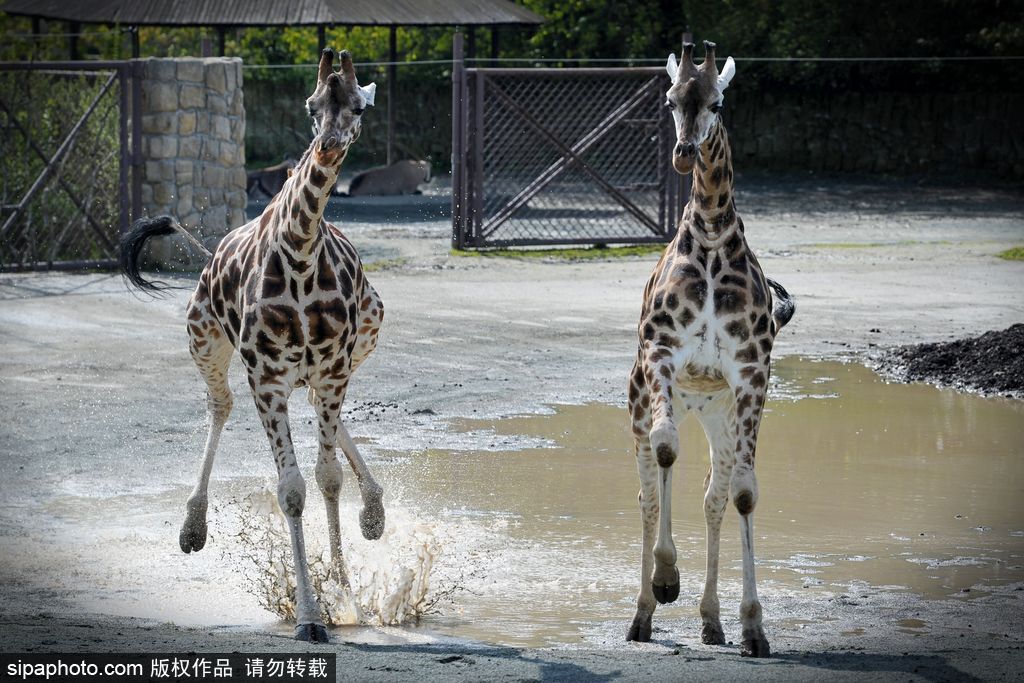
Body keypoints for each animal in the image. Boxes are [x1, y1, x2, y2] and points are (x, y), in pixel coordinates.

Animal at [120, 48, 385, 643]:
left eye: (357, 106)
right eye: (312, 104)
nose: (328, 144)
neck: (303, 253)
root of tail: (210, 253)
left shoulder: (333, 369)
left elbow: (326, 478)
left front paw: (343, 593)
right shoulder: (265, 378)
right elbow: (291, 491)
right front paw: (311, 618)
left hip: (364, 338)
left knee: (320, 426)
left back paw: (374, 511)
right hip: (204, 341)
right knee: (219, 405)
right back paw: (192, 527)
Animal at [622, 38, 798, 655]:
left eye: (717, 103)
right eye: (671, 99)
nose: (682, 153)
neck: (713, 238)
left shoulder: (751, 374)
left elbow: (742, 494)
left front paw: (752, 625)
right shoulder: (662, 354)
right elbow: (666, 450)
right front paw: (665, 578)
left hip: (720, 413)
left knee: (713, 495)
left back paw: (713, 621)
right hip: (645, 401)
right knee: (650, 490)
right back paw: (643, 615)